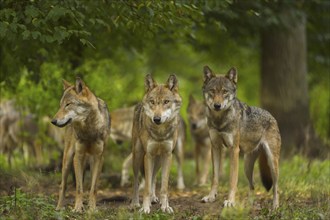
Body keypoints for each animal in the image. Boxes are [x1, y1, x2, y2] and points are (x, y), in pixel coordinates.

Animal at [50, 77, 109, 211]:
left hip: (91, 161)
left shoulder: (99, 158)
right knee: (63, 186)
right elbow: (78, 188)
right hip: (67, 160)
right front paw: (77, 208)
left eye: (68, 104)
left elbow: (93, 188)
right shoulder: (78, 156)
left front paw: (92, 209)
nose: (53, 121)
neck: (89, 130)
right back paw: (59, 208)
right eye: (60, 105)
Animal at [131, 73, 183, 213]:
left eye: (166, 102)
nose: (157, 119)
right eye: (152, 102)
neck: (160, 133)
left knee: (153, 177)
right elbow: (146, 188)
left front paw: (165, 207)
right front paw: (145, 208)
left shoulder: (168, 155)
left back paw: (154, 198)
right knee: (137, 181)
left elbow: (163, 187)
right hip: (138, 156)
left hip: (158, 160)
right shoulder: (148, 155)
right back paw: (135, 203)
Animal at [201, 65, 282, 210]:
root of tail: (272, 116)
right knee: (253, 185)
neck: (220, 120)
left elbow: (232, 180)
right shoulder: (215, 147)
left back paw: (275, 206)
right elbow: (215, 177)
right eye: (212, 91)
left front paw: (230, 201)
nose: (217, 105)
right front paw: (211, 197)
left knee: (276, 186)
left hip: (272, 162)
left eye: (225, 92)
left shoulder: (233, 150)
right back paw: (249, 204)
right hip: (246, 166)